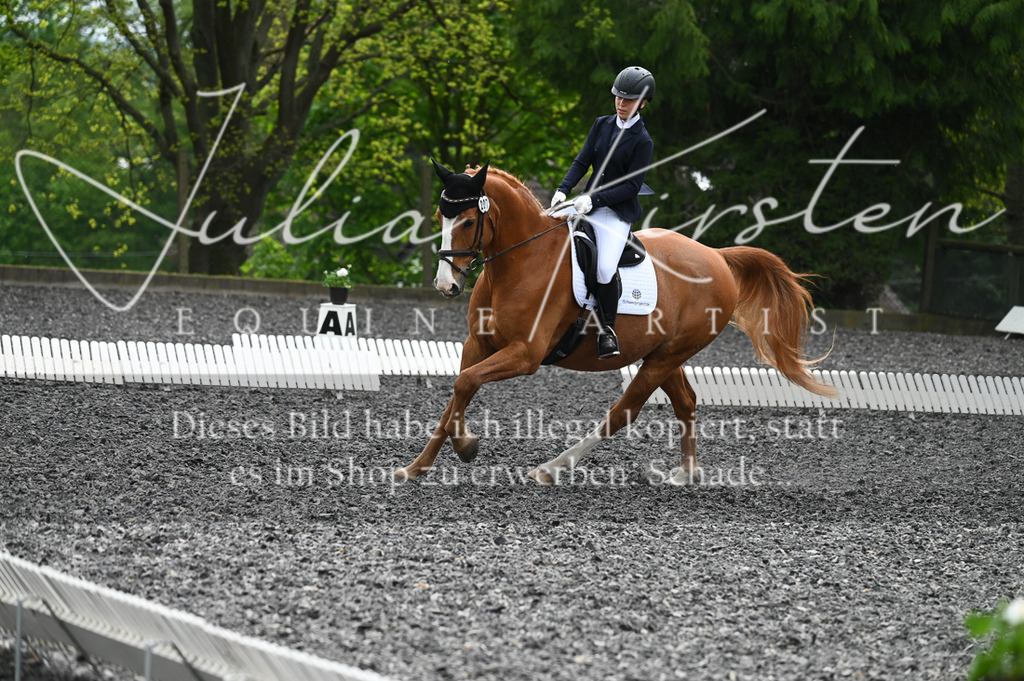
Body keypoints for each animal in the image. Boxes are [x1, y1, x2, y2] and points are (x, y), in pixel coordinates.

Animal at [394, 161, 837, 485]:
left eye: (469, 221)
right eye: (441, 215)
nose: (446, 285)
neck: (520, 262)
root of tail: (716, 256)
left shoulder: (525, 354)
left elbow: (465, 383)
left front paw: (465, 447)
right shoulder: (478, 343)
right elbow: (458, 391)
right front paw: (419, 466)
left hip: (667, 356)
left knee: (624, 411)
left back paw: (552, 468)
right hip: (664, 354)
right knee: (686, 401)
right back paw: (685, 474)